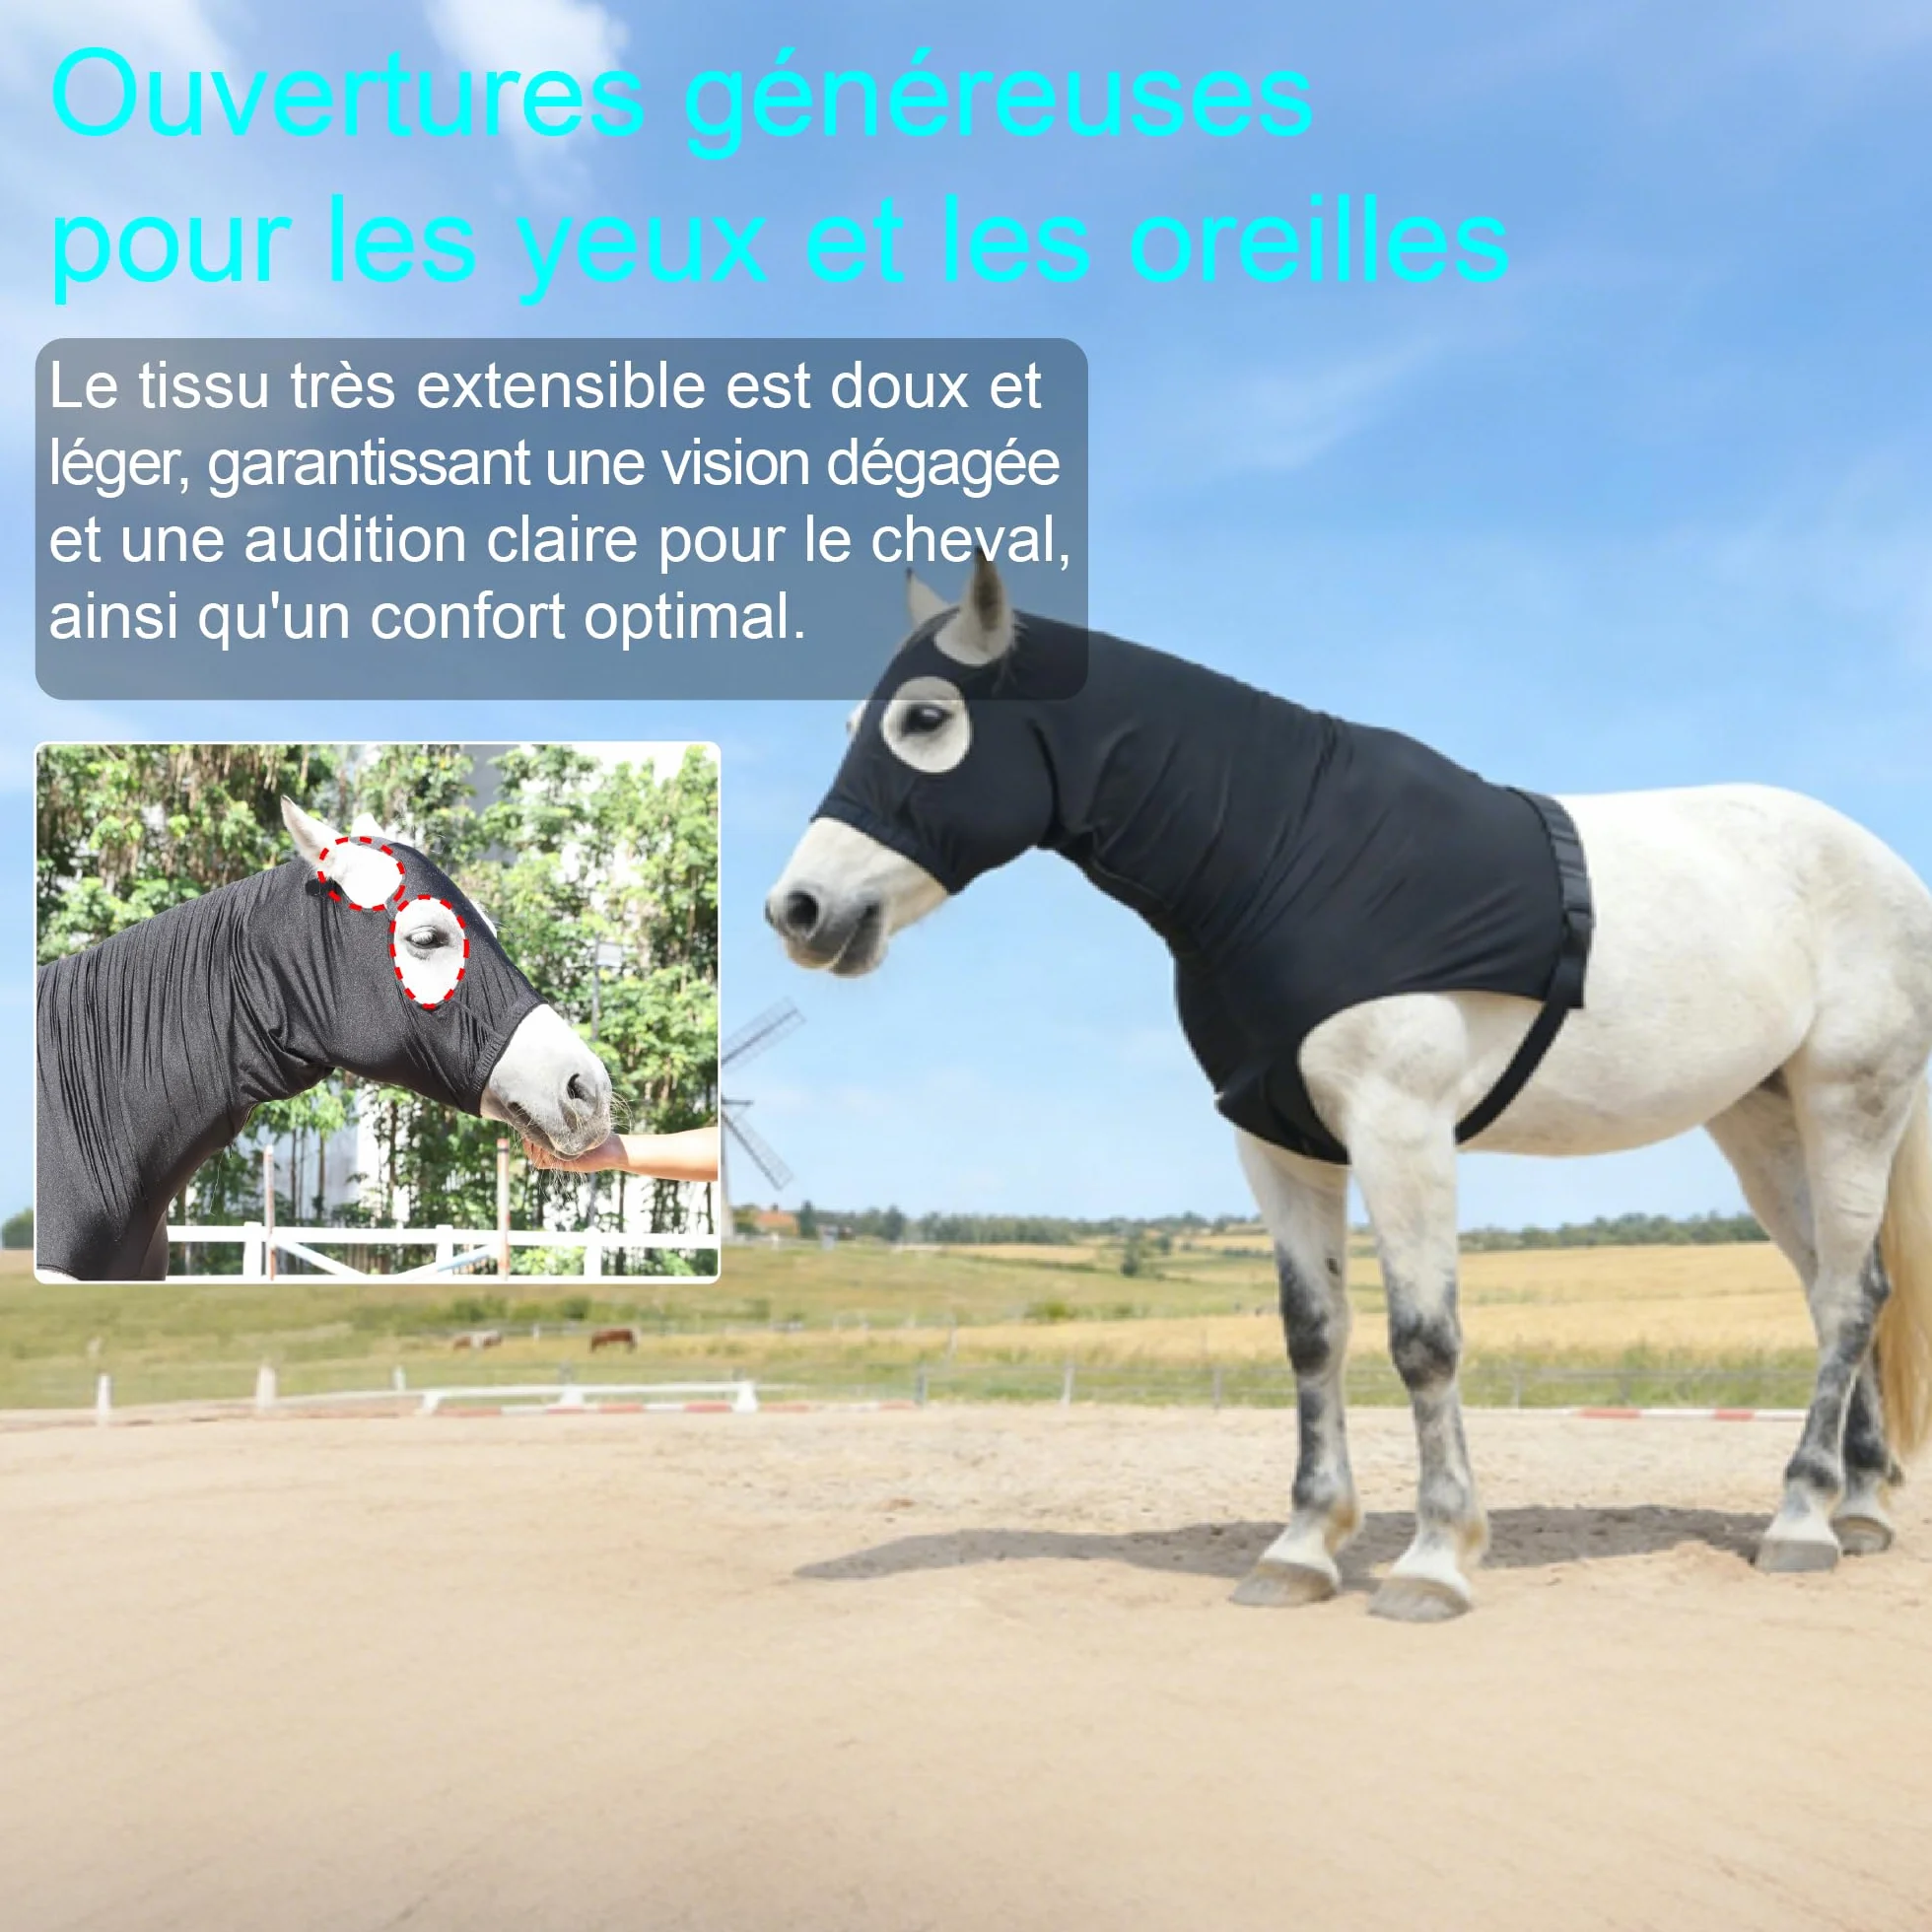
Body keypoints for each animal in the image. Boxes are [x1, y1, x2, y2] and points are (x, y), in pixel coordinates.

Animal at [766, 555, 1932, 1621]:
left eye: (924, 719)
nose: (800, 910)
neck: (1288, 855)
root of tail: (1885, 866)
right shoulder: (1277, 1141)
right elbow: (1313, 1334)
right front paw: (1301, 1547)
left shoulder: (1399, 1128)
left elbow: (1422, 1341)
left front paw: (1435, 1559)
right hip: (1759, 1123)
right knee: (1843, 1289)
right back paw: (1858, 1508)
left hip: (1848, 1103)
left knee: (1843, 1299)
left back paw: (1800, 1519)